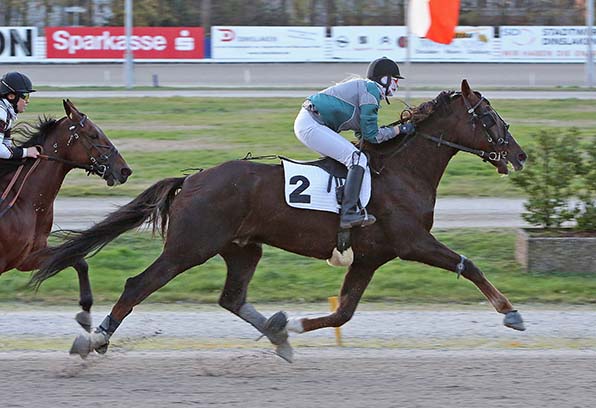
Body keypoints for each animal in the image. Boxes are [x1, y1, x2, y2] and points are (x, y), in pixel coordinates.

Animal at [1, 99, 132, 332]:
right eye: (93, 134)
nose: (125, 170)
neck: (23, 199)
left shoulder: (26, 257)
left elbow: (79, 262)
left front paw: (86, 313)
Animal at [32, 79, 528, 360]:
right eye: (488, 116)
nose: (520, 155)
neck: (401, 171)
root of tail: (191, 180)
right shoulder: (411, 241)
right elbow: (468, 264)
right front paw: (511, 314)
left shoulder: (370, 257)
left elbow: (343, 312)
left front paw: (291, 326)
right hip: (190, 246)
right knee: (139, 284)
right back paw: (97, 340)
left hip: (242, 247)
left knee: (232, 298)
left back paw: (277, 336)